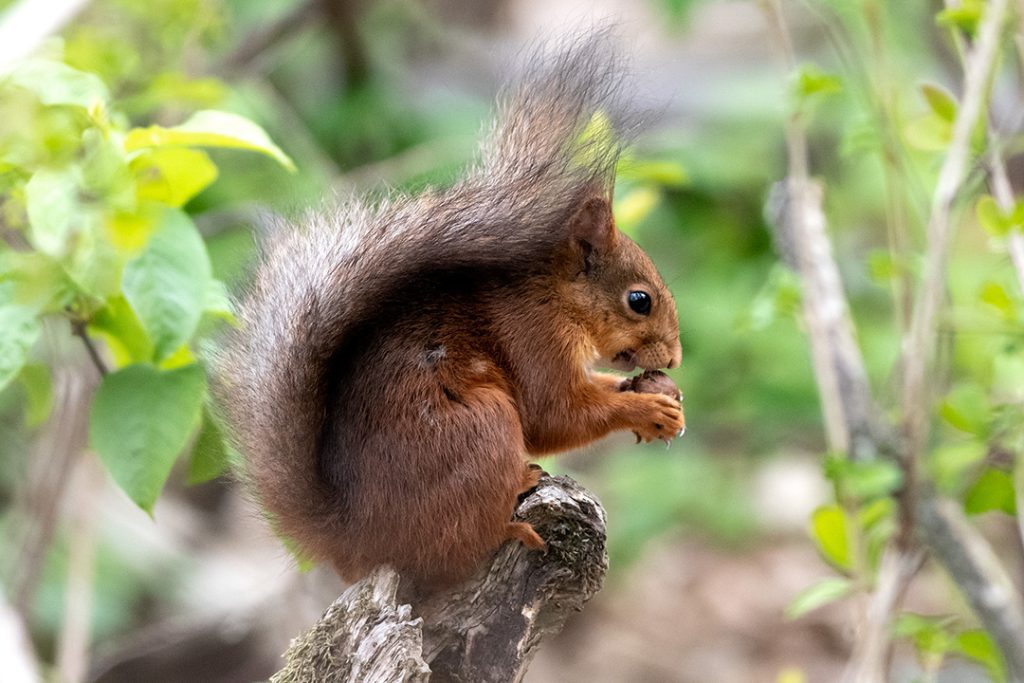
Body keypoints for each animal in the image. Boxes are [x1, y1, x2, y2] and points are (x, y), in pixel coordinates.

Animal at [216, 37, 684, 589]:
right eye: (640, 300)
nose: (674, 360)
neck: (554, 297)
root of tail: (357, 540)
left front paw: (657, 398)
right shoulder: (534, 337)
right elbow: (555, 416)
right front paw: (646, 409)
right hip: (481, 428)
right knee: (457, 551)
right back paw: (511, 524)